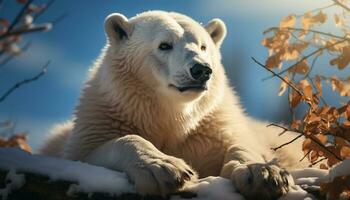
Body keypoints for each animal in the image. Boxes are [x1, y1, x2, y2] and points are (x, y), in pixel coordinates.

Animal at [41, 10, 308, 198]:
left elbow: (239, 144)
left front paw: (264, 173)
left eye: (203, 46)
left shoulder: (208, 128)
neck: (170, 114)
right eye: (164, 45)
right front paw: (166, 169)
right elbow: (94, 150)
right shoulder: (103, 120)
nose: (201, 70)